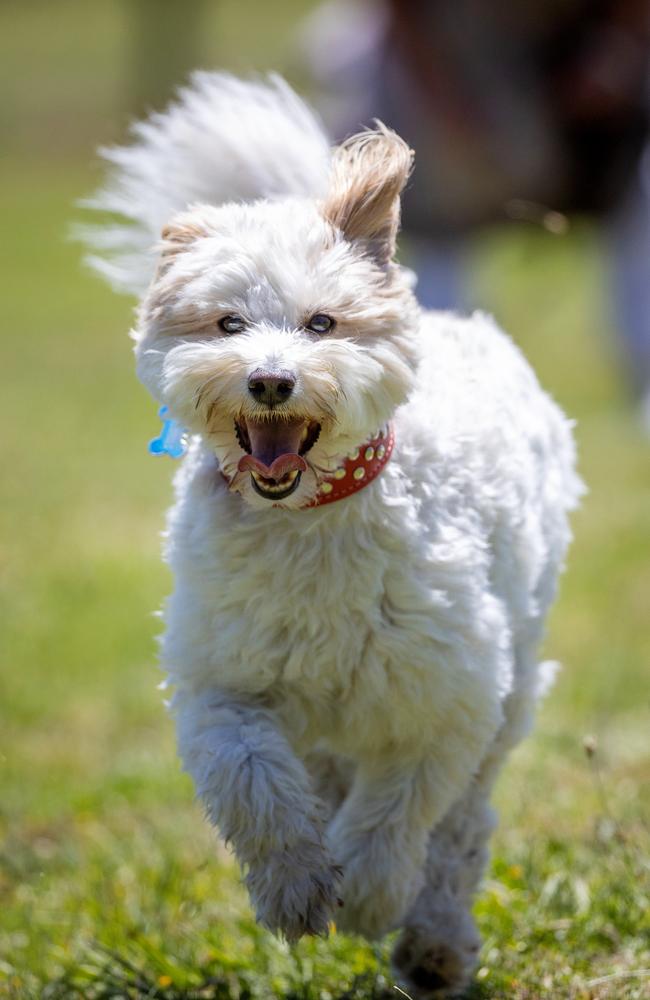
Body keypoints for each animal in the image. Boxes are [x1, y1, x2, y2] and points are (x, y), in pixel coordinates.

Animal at [85, 74, 576, 996]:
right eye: (228, 325)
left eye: (321, 324)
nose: (271, 381)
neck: (307, 518)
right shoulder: (223, 681)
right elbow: (253, 782)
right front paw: (297, 889)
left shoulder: (447, 694)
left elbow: (399, 811)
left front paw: (373, 896)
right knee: (324, 773)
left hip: (515, 679)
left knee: (460, 828)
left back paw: (433, 941)